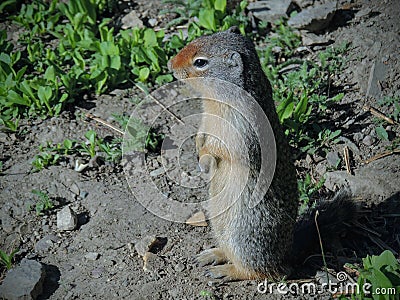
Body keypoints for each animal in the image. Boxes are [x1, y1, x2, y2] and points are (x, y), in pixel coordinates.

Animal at [167, 26, 354, 282]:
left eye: (200, 62)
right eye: (197, 39)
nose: (170, 65)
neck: (217, 98)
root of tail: (287, 251)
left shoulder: (240, 130)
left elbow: (223, 148)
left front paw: (204, 159)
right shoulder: (207, 118)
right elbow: (201, 133)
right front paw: (198, 151)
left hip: (244, 237)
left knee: (262, 271)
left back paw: (224, 271)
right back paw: (212, 255)